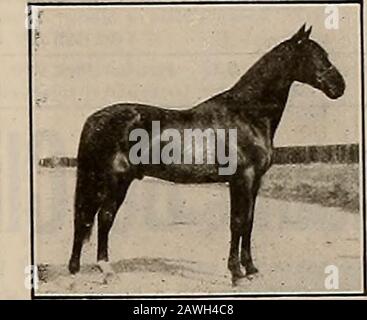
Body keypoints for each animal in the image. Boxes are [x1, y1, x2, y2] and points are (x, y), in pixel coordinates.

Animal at [68, 25, 344, 284]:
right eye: (314, 55)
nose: (339, 86)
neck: (247, 115)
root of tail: (95, 119)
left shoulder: (255, 181)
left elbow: (249, 222)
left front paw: (251, 269)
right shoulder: (242, 179)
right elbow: (237, 222)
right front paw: (236, 273)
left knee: (87, 218)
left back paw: (76, 268)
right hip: (115, 180)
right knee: (102, 218)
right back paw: (105, 269)